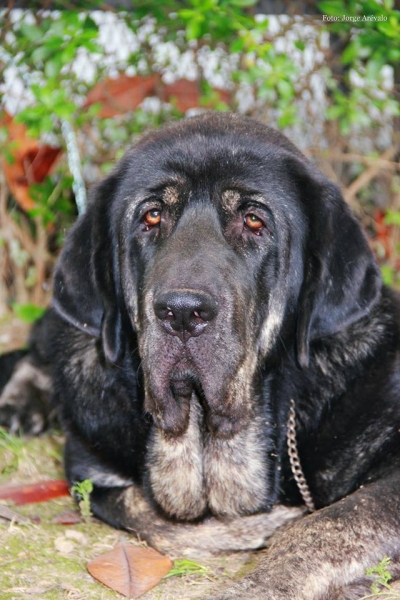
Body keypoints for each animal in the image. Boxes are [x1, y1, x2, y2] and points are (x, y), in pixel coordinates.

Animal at [0, 113, 400, 600]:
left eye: (254, 220)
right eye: (151, 216)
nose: (182, 312)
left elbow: (328, 524)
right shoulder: (88, 466)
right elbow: (146, 512)